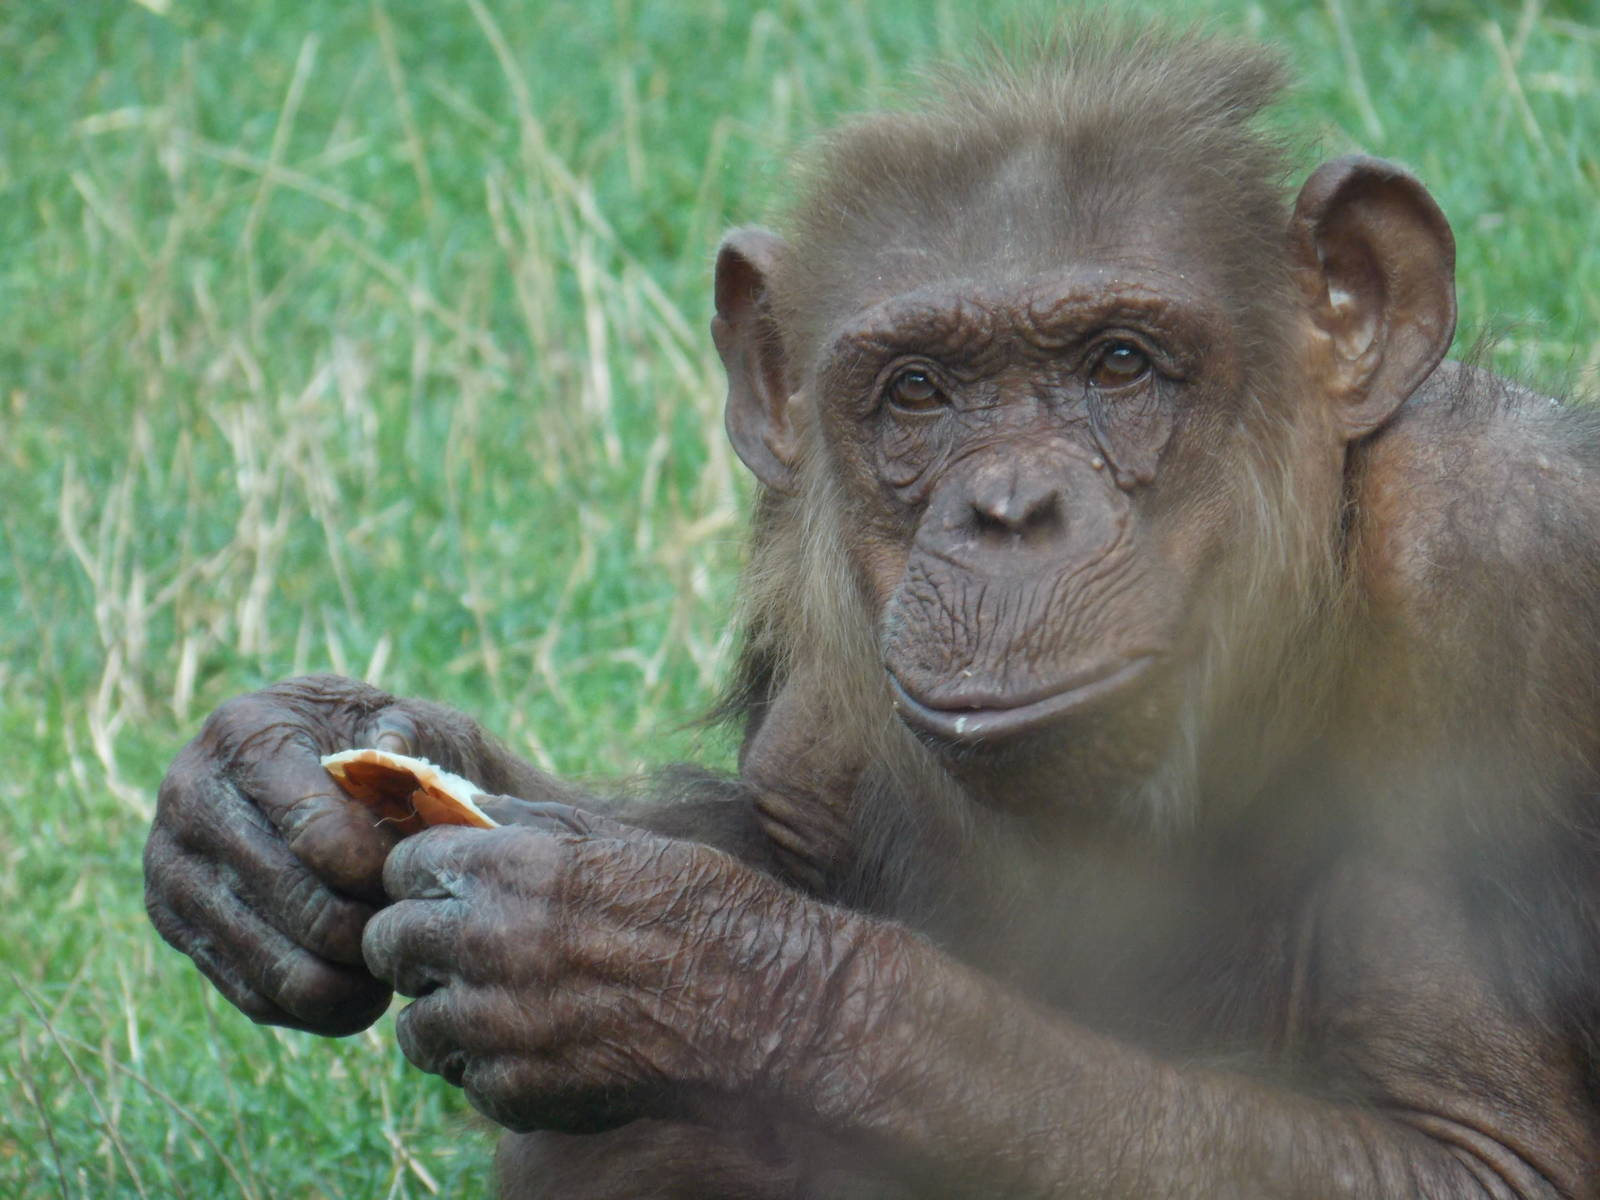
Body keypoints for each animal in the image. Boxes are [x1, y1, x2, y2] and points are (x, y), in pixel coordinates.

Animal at [144, 25, 1600, 1198]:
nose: (1006, 506)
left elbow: (1478, 1152)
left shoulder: (1495, 572)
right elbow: (774, 830)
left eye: (1120, 364)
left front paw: (681, 962)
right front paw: (269, 783)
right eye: (917, 392)